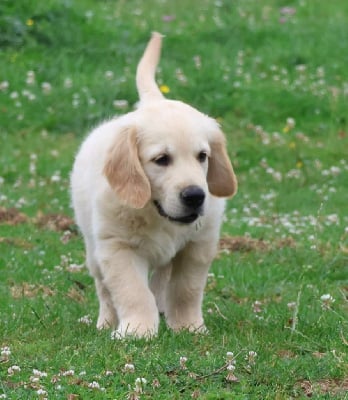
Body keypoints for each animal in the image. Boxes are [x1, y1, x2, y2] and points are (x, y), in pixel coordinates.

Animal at [72, 32, 238, 338]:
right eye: (161, 159)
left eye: (202, 156)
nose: (195, 196)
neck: (157, 213)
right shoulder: (117, 246)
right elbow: (133, 291)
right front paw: (136, 331)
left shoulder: (198, 244)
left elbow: (186, 289)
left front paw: (188, 326)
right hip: (92, 247)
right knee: (104, 289)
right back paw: (106, 322)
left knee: (162, 280)